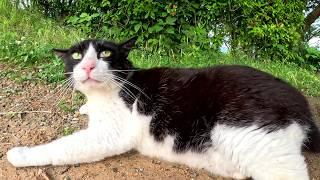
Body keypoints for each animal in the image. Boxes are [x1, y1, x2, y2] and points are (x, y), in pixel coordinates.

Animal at [6, 37, 320, 179]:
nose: (88, 66)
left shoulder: (112, 132)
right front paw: (85, 110)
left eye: (105, 53)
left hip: (255, 138)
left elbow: (63, 146)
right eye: (76, 56)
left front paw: (20, 154)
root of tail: (302, 105)